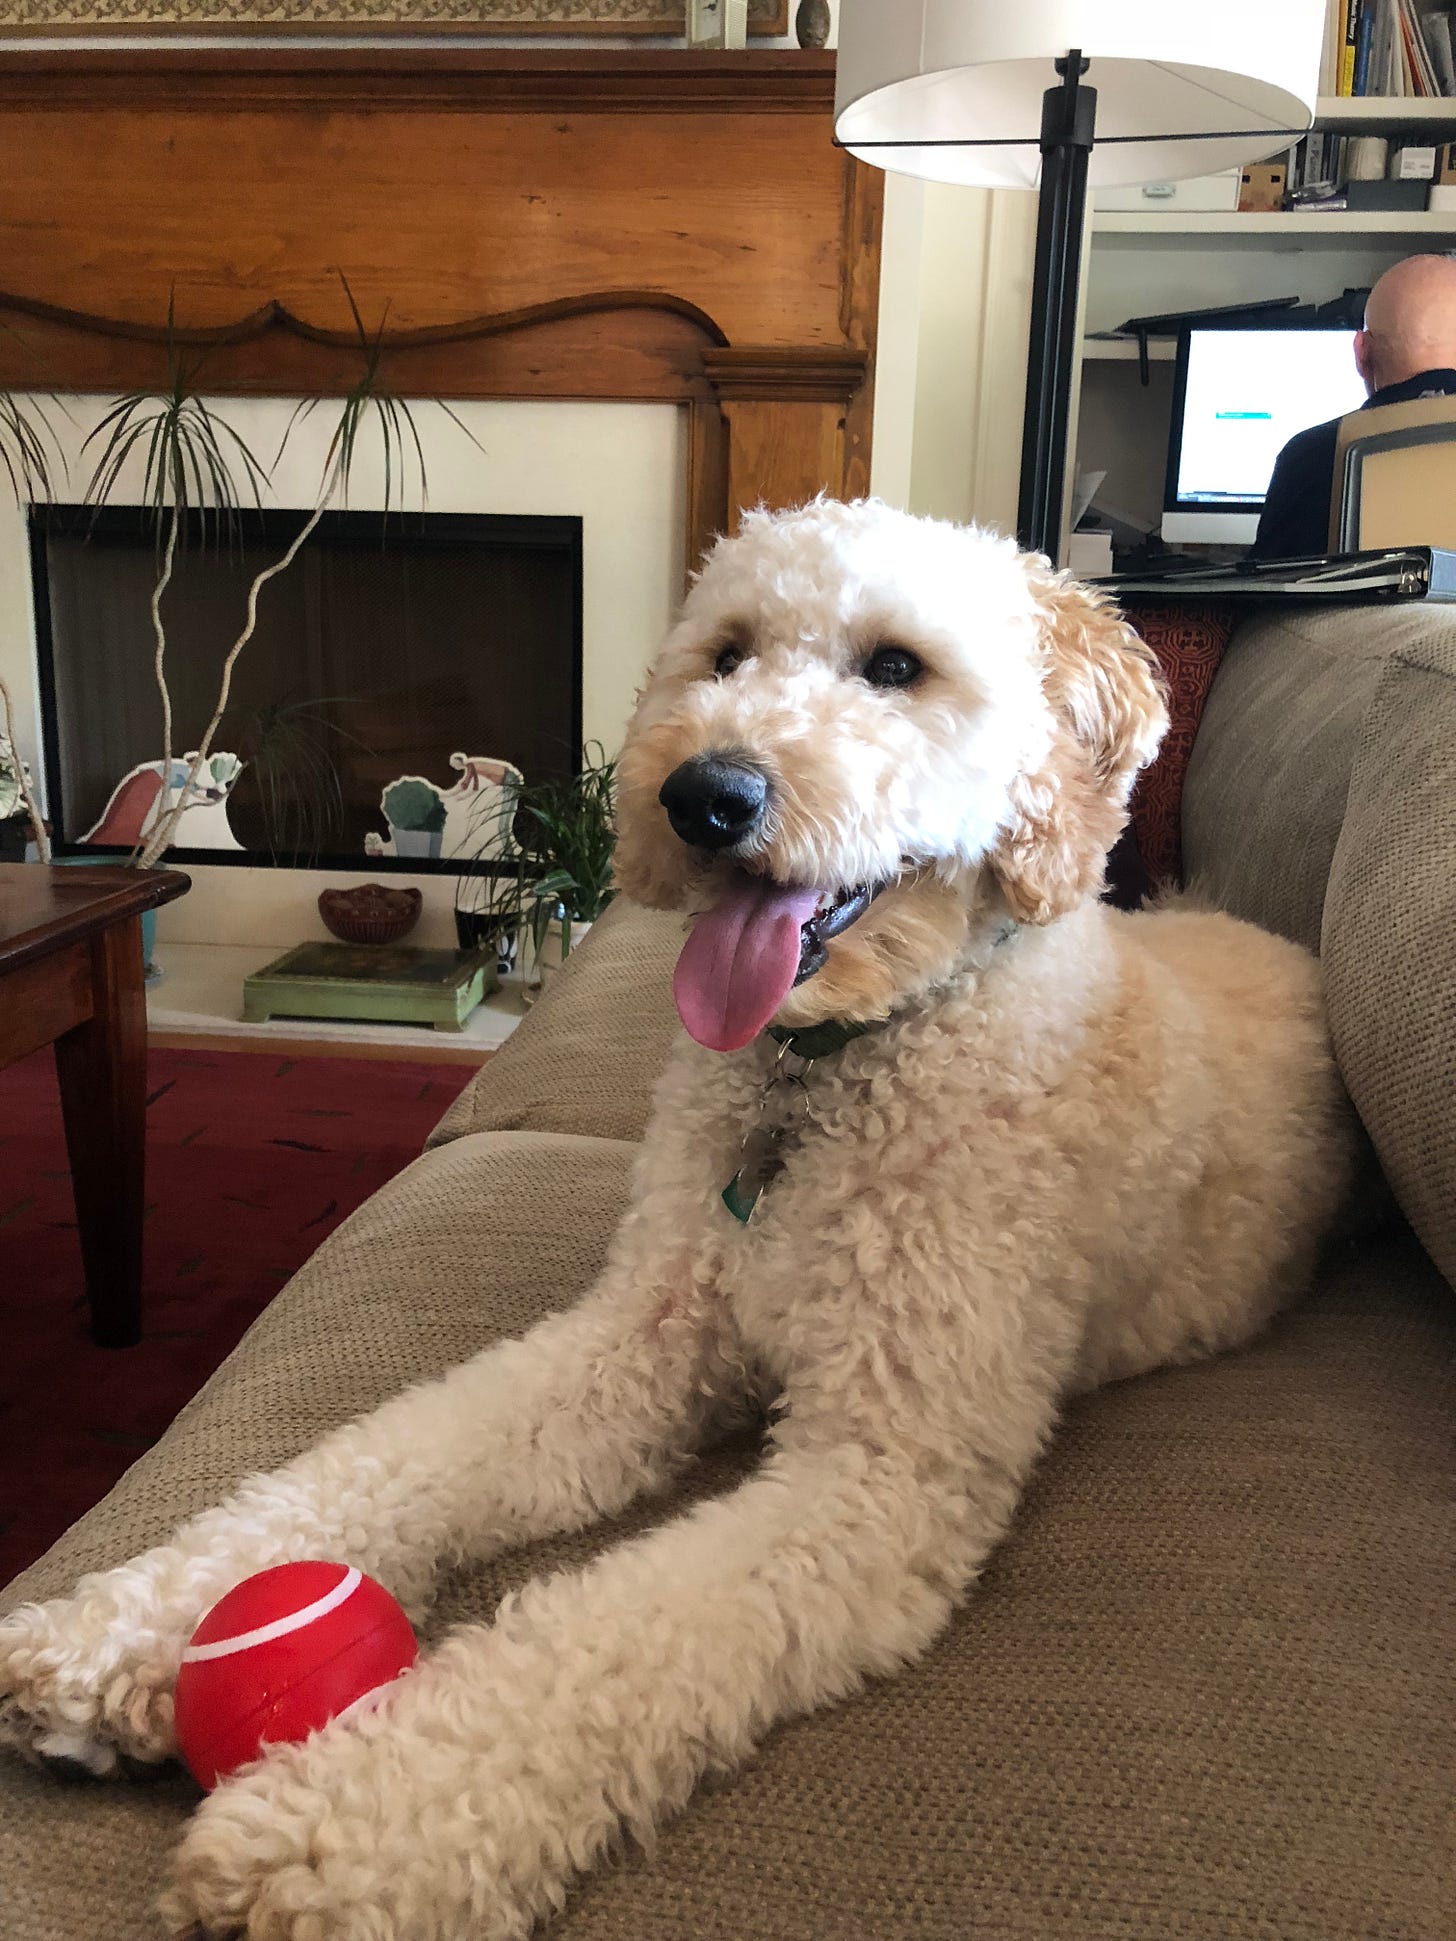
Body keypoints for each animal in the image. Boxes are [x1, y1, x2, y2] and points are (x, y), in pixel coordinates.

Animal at [0, 500, 1354, 1940]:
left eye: (895, 667)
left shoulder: (874, 1476)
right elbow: (389, 1454)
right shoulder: (635, 1340)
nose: (706, 796)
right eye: (728, 651)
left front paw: (333, 1835)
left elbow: (601, 1640)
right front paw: (122, 1632)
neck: (831, 1071)